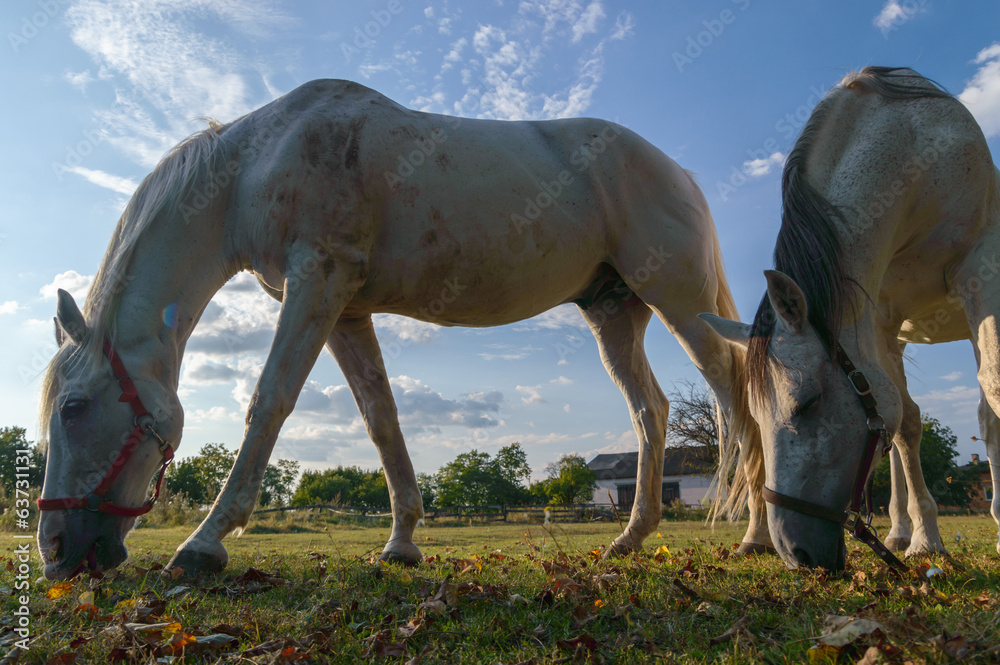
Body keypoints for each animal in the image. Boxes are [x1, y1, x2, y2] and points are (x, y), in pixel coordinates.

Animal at [36, 79, 763, 580]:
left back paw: (757, 534)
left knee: (736, 396)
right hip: (615, 314)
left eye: (73, 408)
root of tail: (676, 171)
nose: (54, 553)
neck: (254, 166)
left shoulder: (318, 280)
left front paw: (203, 543)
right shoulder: (345, 309)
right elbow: (380, 419)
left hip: (681, 303)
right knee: (651, 410)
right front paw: (402, 542)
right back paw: (629, 539)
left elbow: (269, 400)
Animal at [703, 66, 1000, 570]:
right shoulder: (877, 322)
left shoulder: (981, 268)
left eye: (808, 403)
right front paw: (924, 539)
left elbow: (993, 394)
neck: (914, 149)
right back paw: (900, 531)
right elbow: (905, 426)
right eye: (756, 417)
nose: (796, 552)